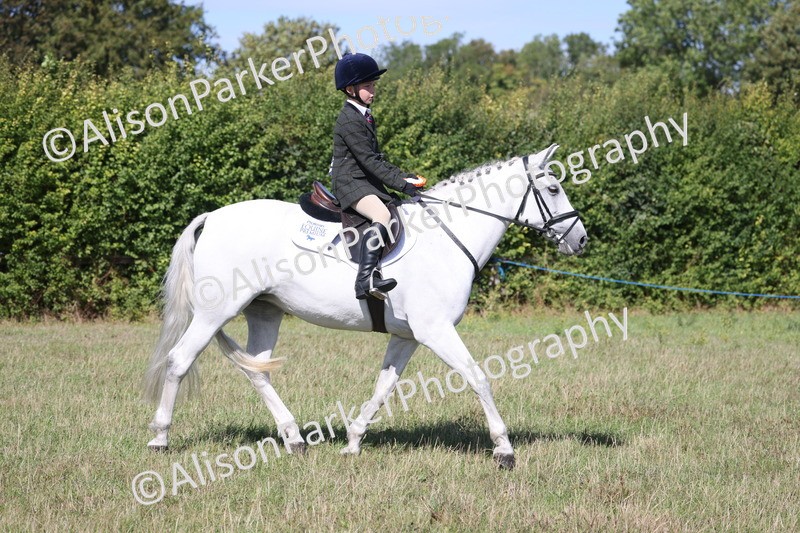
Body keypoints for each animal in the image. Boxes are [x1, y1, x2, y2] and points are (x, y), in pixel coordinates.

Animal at [143, 144, 587, 469]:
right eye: (552, 189)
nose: (580, 239)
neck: (446, 236)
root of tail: (213, 217)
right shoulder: (436, 330)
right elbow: (478, 378)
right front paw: (504, 449)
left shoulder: (408, 336)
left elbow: (383, 387)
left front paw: (353, 443)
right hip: (214, 313)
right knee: (180, 361)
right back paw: (160, 438)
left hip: (265, 311)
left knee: (257, 371)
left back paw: (295, 439)